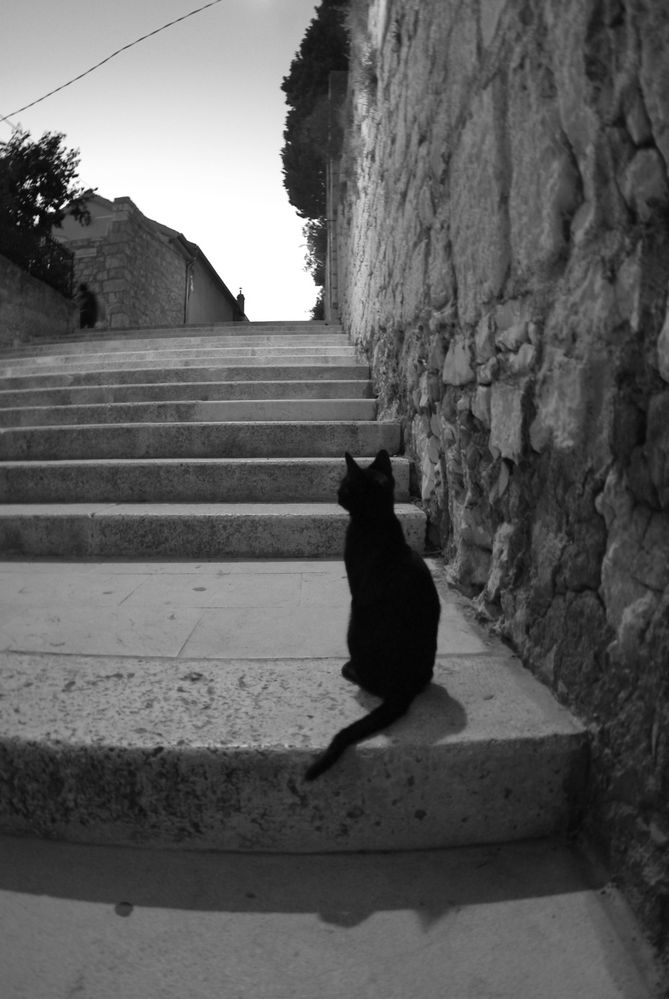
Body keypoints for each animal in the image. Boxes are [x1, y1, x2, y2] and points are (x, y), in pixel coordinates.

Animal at [304, 450, 440, 784]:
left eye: (345, 486)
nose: (336, 493)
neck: (378, 523)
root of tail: (404, 690)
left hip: (355, 622)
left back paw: (350, 669)